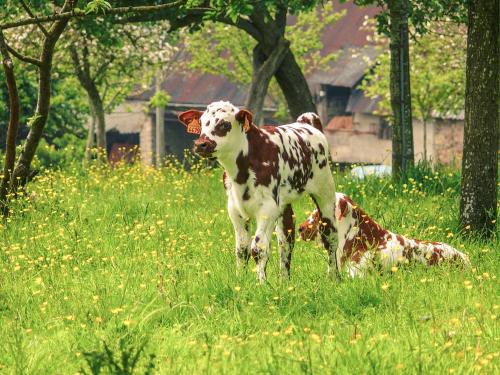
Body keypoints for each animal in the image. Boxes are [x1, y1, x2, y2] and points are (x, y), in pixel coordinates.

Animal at [178, 101, 338, 284]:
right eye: (202, 122)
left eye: (224, 124)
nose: (200, 144)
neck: (241, 172)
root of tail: (306, 122)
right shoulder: (234, 208)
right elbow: (242, 249)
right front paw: (240, 280)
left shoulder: (267, 209)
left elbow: (258, 248)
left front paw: (261, 282)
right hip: (284, 203)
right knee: (286, 238)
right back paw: (284, 280)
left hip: (325, 191)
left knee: (330, 235)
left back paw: (333, 277)